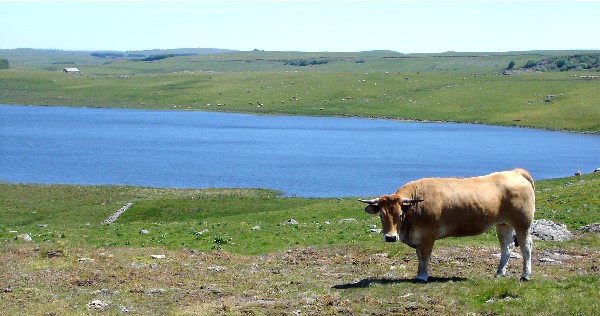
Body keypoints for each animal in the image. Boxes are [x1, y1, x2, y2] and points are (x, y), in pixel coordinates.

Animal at [358, 169, 536, 282]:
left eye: (400, 215)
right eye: (381, 215)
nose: (390, 237)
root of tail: (514, 172)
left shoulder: (428, 235)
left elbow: (425, 256)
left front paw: (423, 276)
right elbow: (419, 256)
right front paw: (418, 275)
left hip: (523, 223)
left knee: (526, 246)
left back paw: (525, 275)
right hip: (503, 224)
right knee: (506, 247)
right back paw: (499, 273)